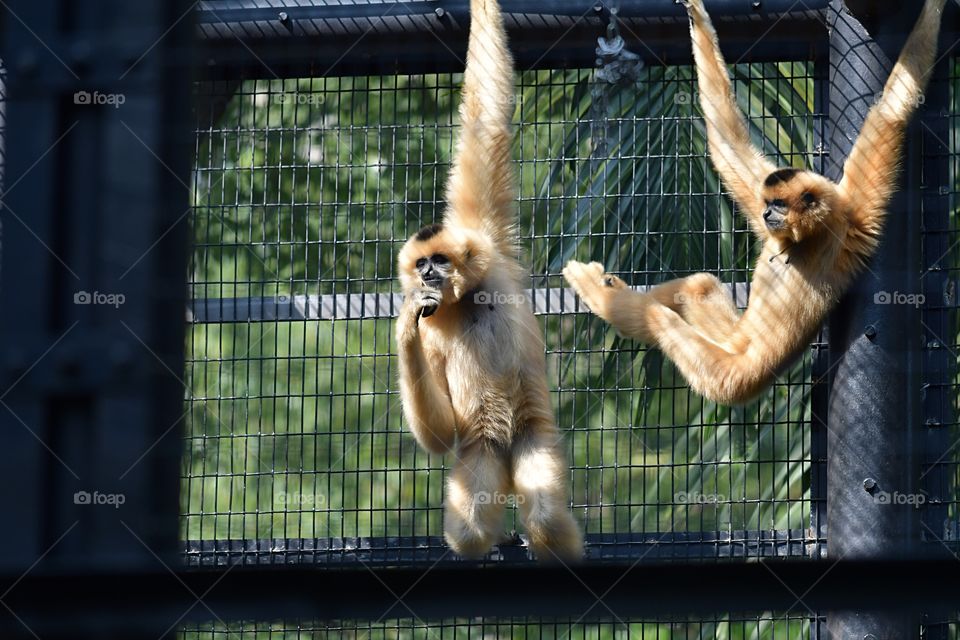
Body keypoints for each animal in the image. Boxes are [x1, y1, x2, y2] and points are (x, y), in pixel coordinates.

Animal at [395, 0, 583, 562]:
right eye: (421, 265)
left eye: (439, 260)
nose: (429, 275)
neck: (468, 300)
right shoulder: (437, 329)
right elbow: (438, 437)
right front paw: (404, 327)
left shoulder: (491, 246)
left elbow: (487, 121)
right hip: (480, 449)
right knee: (471, 525)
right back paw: (491, 538)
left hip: (534, 435)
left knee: (545, 513)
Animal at [562, 0, 946, 405]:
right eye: (768, 202)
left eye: (779, 205)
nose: (765, 213)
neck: (808, 237)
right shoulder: (841, 212)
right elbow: (729, 145)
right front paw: (697, 17)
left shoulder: (850, 218)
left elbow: (890, 113)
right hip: (727, 338)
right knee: (698, 286)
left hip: (728, 376)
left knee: (661, 319)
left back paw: (604, 300)